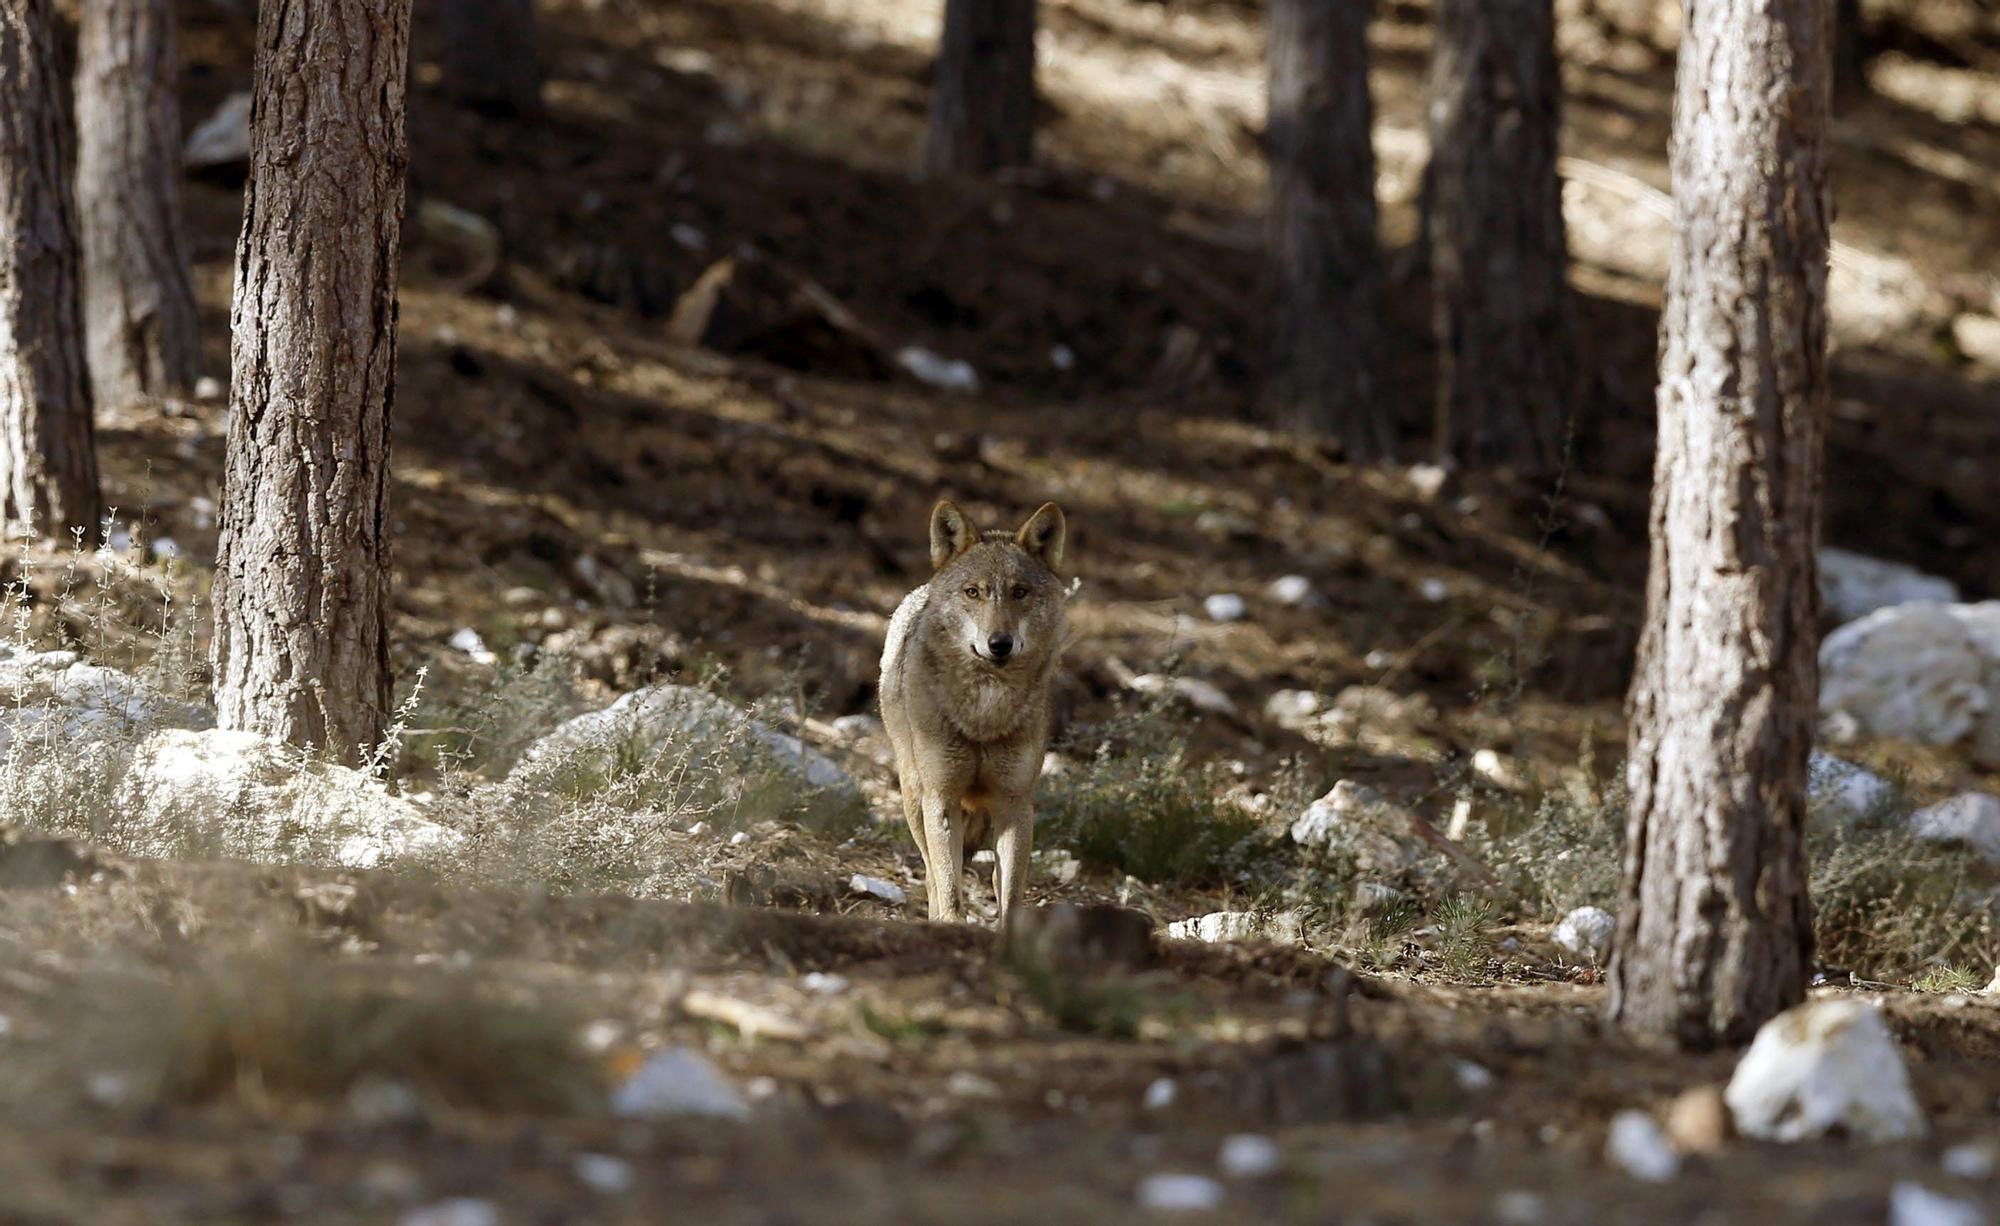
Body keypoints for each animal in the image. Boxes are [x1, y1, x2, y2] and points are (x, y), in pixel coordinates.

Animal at [876, 492, 1064, 924]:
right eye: (973, 592)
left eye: (1019, 592)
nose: (1000, 643)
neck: (984, 713)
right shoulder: (941, 799)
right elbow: (948, 889)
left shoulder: (1015, 805)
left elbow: (1009, 896)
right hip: (914, 797)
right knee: (932, 876)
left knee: (993, 878)